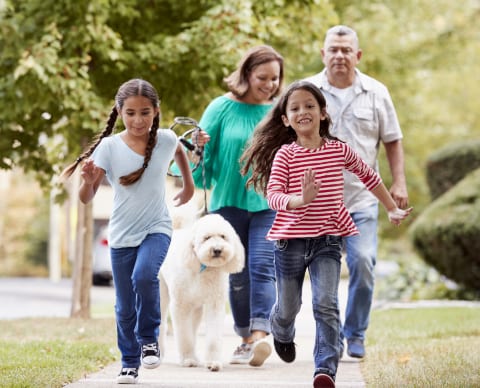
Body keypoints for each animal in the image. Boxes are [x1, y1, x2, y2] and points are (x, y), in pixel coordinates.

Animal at [160, 212, 246, 372]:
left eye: (223, 236)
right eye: (206, 238)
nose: (217, 250)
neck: (203, 268)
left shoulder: (214, 304)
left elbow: (213, 337)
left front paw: (213, 362)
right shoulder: (180, 306)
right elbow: (184, 336)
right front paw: (187, 359)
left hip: (196, 308)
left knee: (193, 328)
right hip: (161, 293)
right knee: (161, 324)